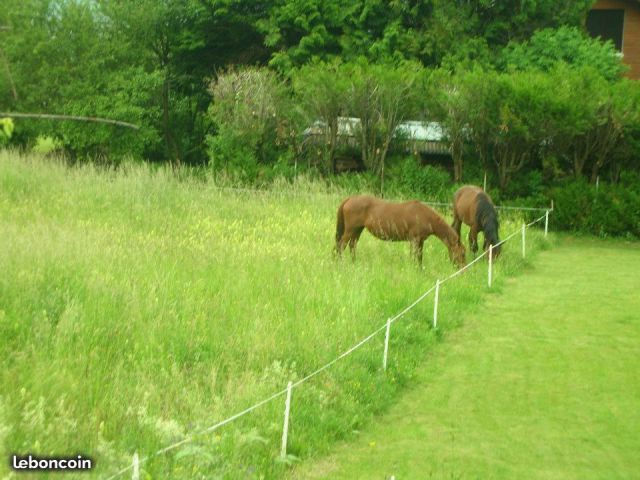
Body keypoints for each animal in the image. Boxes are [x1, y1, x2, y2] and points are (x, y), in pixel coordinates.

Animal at [336, 196, 464, 268]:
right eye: (462, 253)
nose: (462, 269)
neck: (425, 216)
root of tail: (350, 199)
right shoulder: (414, 240)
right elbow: (414, 256)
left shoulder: (420, 241)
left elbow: (419, 257)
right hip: (350, 230)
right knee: (342, 246)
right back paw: (341, 264)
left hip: (357, 230)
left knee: (352, 245)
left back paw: (354, 263)